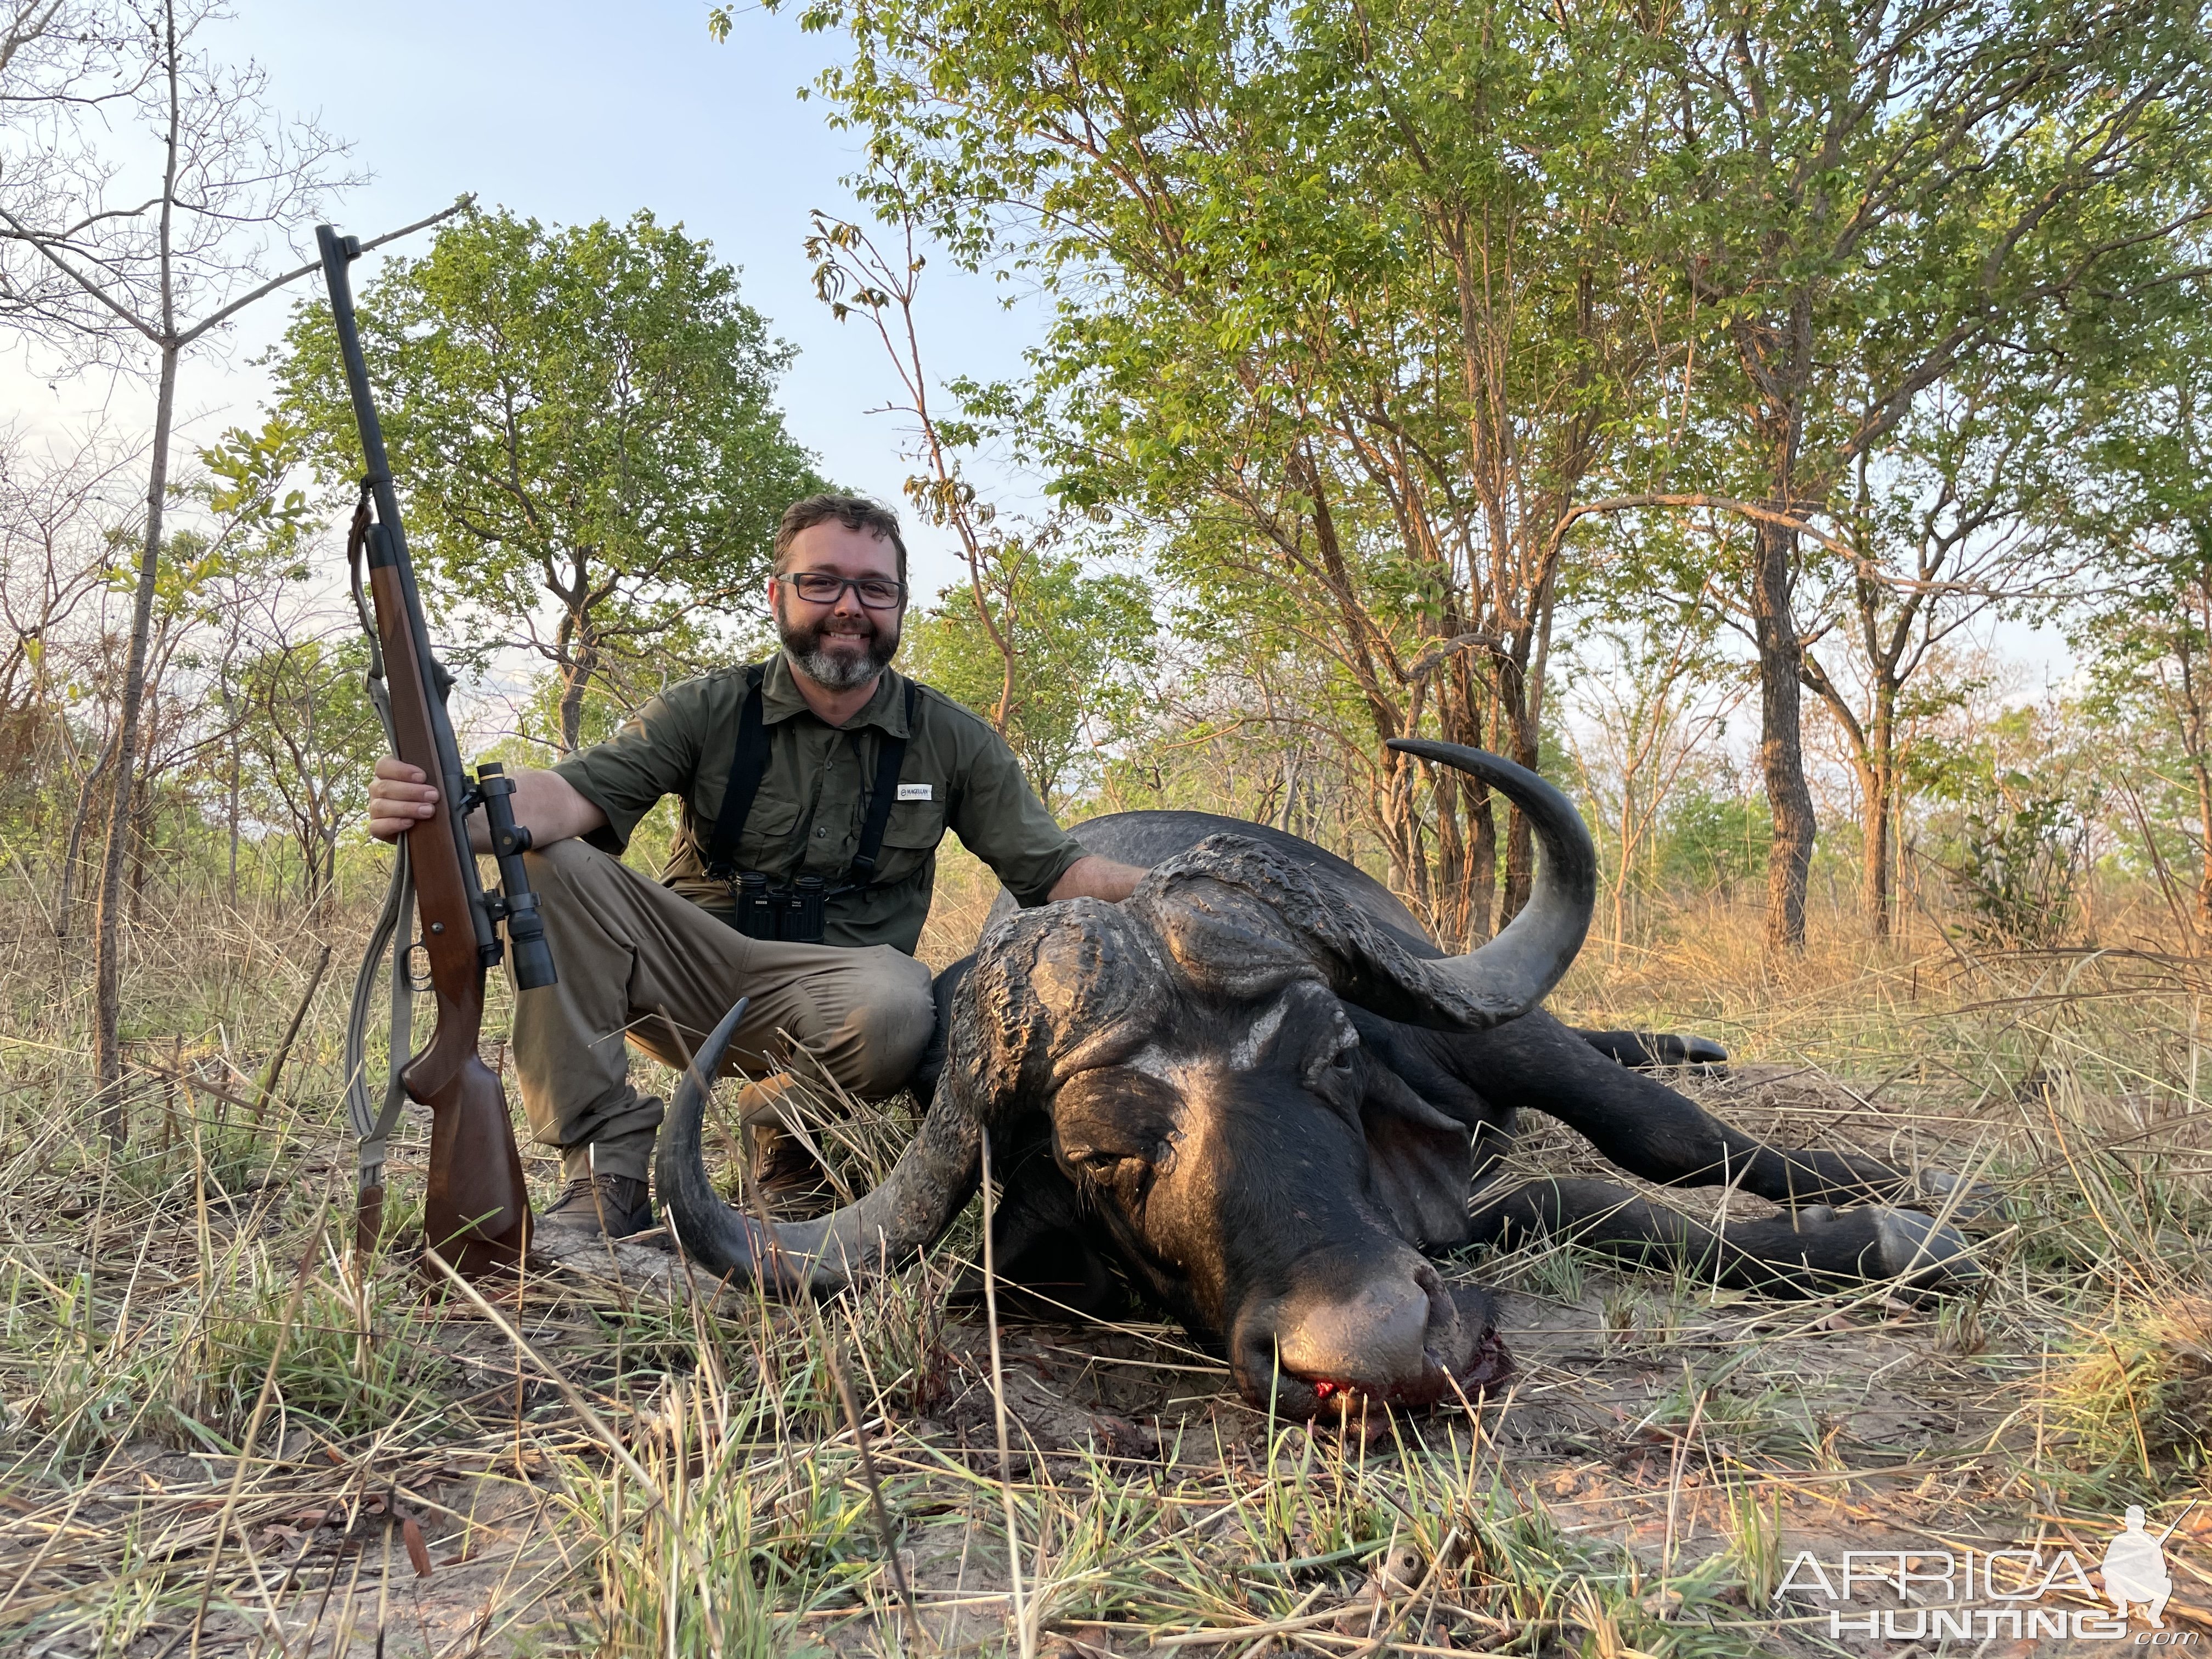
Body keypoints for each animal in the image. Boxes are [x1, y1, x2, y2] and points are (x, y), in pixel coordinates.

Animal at [646, 747, 1982, 1424]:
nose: (1379, 1351)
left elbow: (1656, 1140)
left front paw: (1886, 1210)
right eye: (1099, 1155)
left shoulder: (1498, 1040)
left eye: (1334, 1053)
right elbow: (1562, 1203)